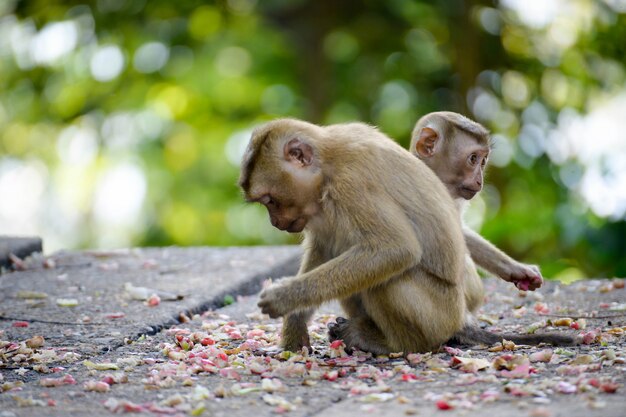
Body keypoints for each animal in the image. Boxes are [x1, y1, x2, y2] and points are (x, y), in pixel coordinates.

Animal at [239, 118, 468, 354]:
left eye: (270, 200)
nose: (274, 222)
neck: (326, 165)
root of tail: (458, 317)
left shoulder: (351, 183)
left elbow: (395, 247)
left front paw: (284, 296)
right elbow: (324, 250)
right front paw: (294, 331)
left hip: (438, 319)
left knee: (388, 280)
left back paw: (395, 344)